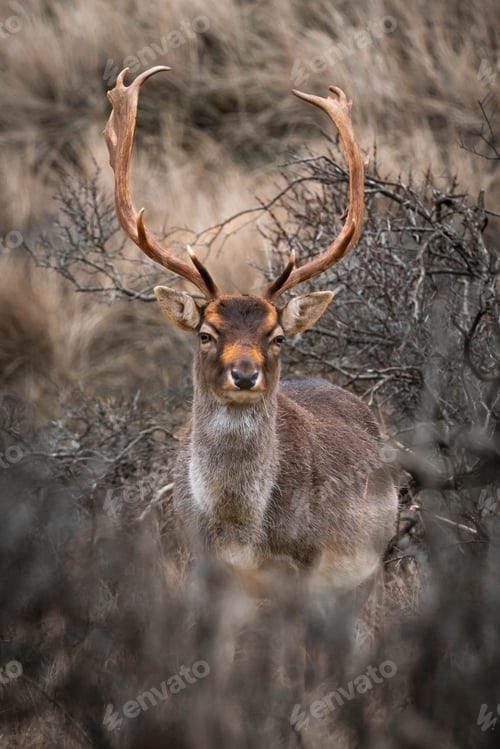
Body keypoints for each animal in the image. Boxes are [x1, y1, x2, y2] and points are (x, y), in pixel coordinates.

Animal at [104, 66, 398, 616]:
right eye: (205, 333)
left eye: (277, 335)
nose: (245, 373)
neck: (240, 529)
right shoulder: (197, 561)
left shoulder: (304, 559)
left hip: (370, 563)